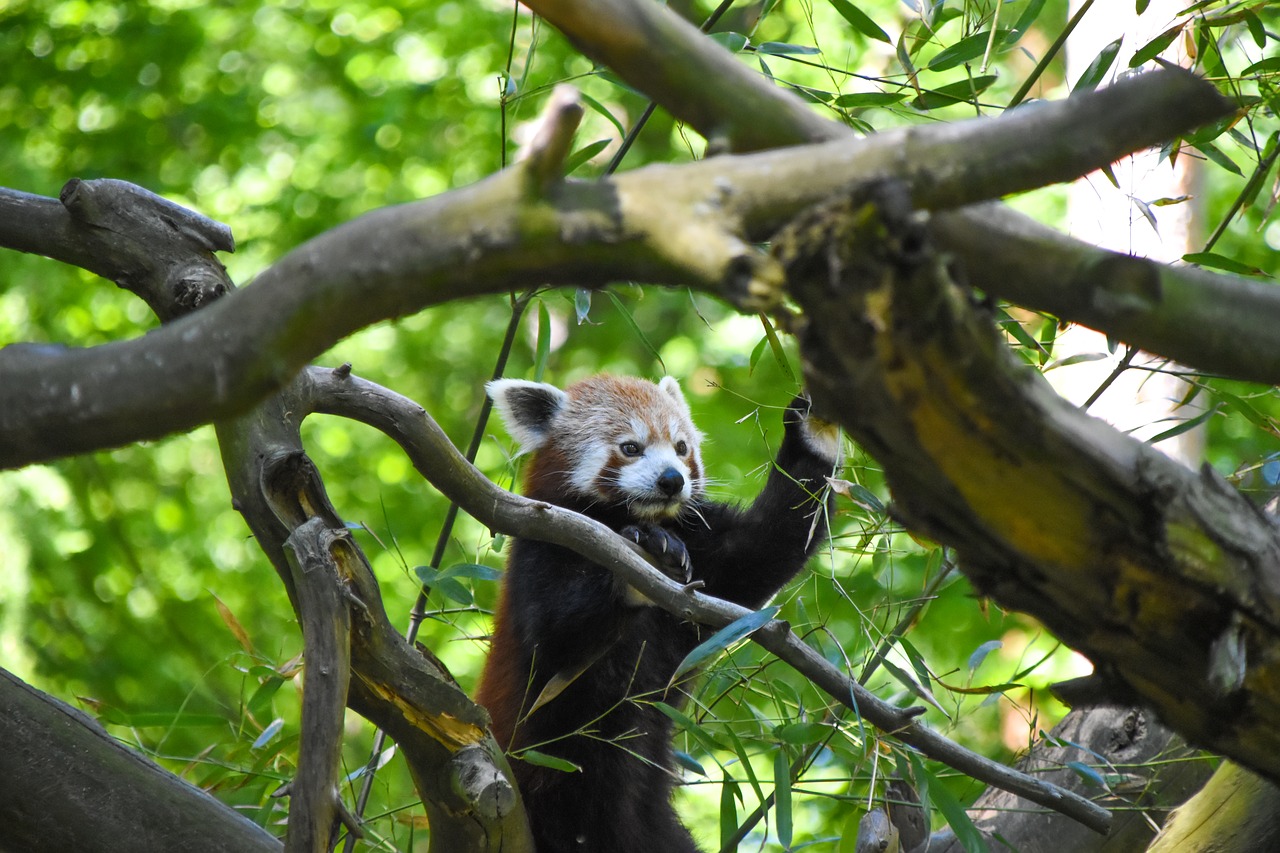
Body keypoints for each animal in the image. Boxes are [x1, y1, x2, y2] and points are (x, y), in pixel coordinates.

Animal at [478, 376, 839, 845]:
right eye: (631, 447)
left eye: (682, 447)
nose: (672, 480)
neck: (625, 516)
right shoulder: (543, 541)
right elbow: (558, 637)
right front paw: (645, 554)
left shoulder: (705, 548)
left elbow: (766, 544)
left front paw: (813, 429)